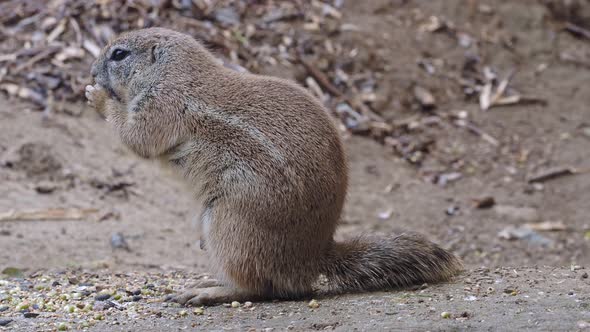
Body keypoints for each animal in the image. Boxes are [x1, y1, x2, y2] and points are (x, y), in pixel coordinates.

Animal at [85, 28, 464, 306]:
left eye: (119, 54)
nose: (90, 72)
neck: (172, 72)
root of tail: (313, 256)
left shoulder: (160, 105)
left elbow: (137, 138)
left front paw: (97, 96)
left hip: (228, 222)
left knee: (256, 288)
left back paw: (208, 291)